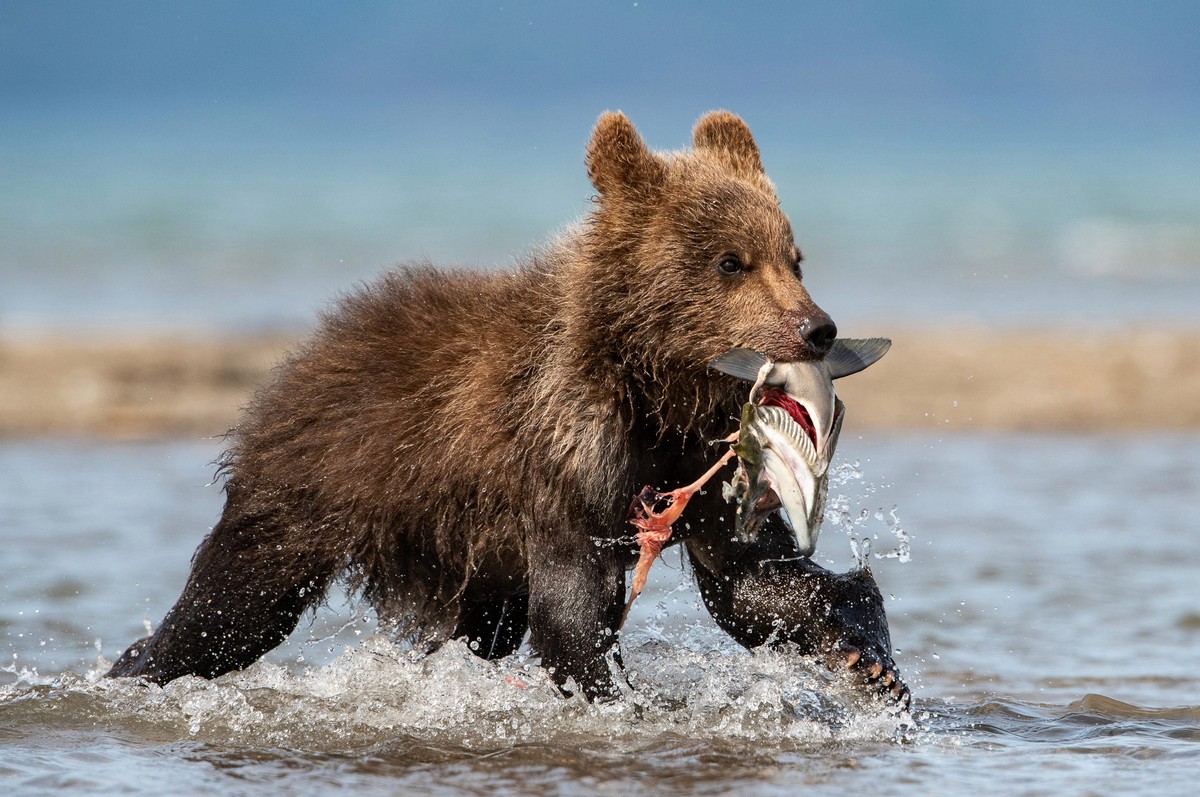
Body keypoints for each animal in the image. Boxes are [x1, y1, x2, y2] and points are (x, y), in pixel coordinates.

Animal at [108, 113, 902, 705]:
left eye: (793, 257)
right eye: (729, 261)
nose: (816, 328)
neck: (655, 387)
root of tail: (305, 351)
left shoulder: (704, 467)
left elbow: (753, 581)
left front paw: (868, 659)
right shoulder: (566, 460)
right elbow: (573, 609)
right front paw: (624, 696)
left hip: (467, 551)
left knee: (477, 627)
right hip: (313, 484)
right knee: (233, 605)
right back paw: (134, 665)